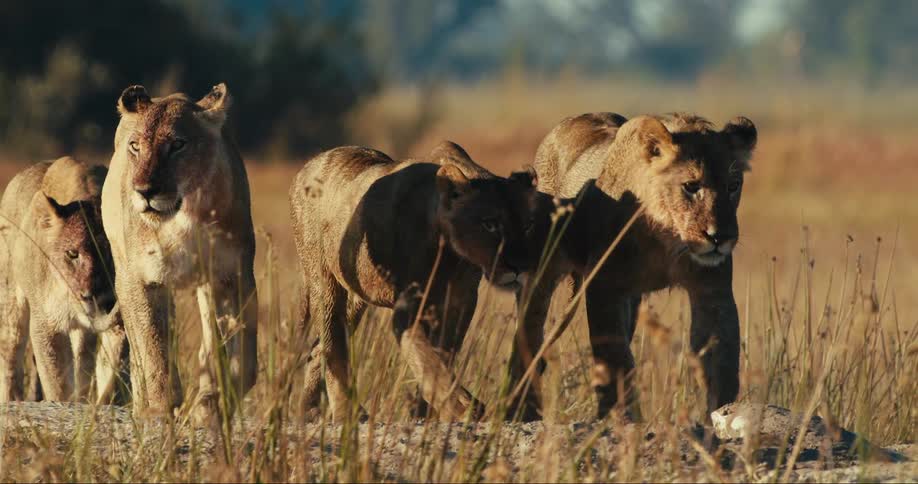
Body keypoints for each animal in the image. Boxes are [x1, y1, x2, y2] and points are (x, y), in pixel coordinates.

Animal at [0, 157, 125, 403]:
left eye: (109, 254)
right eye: (72, 254)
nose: (89, 296)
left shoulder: (115, 320)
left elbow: (106, 374)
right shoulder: (46, 324)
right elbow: (57, 382)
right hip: (11, 303)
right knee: (10, 356)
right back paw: (11, 399)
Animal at [102, 83, 257, 419]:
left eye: (177, 145)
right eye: (135, 146)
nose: (144, 191)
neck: (186, 216)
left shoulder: (231, 277)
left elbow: (237, 352)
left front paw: (216, 403)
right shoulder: (141, 279)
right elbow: (154, 350)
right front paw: (160, 409)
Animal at [290, 142, 541, 421]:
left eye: (528, 225)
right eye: (490, 224)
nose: (520, 266)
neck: (453, 256)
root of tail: (310, 164)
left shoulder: (461, 302)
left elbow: (443, 354)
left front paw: (430, 411)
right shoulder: (408, 307)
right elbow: (427, 358)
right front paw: (461, 407)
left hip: (356, 296)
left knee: (318, 349)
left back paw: (310, 409)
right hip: (323, 279)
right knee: (333, 343)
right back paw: (345, 412)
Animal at [513, 112, 757, 419]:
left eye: (733, 185)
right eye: (691, 186)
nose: (719, 237)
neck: (667, 238)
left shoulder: (712, 291)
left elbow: (720, 359)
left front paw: (723, 413)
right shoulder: (604, 287)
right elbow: (614, 357)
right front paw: (620, 416)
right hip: (542, 271)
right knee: (529, 330)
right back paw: (521, 407)